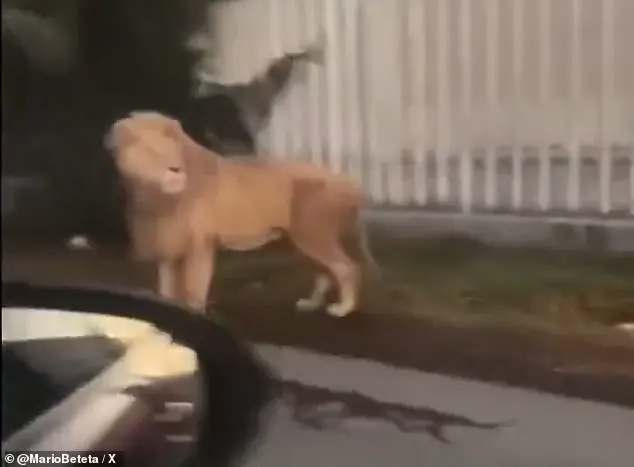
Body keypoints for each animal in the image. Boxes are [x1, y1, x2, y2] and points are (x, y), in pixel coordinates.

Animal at [105, 111, 378, 320]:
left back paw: (343, 309)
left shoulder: (200, 245)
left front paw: (195, 313)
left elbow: (194, 287)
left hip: (313, 234)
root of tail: (351, 184)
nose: (175, 168)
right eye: (152, 152)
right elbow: (166, 287)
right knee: (325, 272)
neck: (155, 198)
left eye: (173, 151)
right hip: (305, 239)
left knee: (346, 268)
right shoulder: (168, 243)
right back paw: (311, 304)